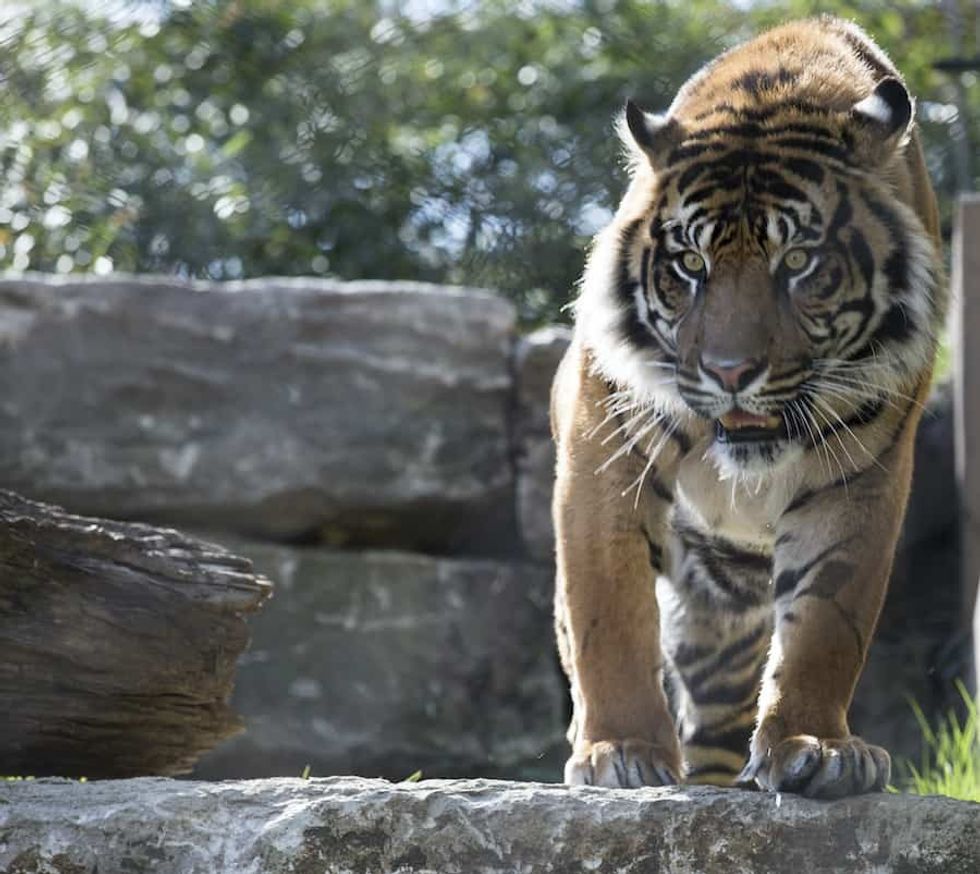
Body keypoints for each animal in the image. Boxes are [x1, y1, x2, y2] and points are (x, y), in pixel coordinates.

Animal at [551, 16, 945, 799]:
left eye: (796, 263)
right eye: (690, 265)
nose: (730, 373)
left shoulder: (860, 475)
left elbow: (827, 622)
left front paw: (816, 747)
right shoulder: (604, 448)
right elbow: (606, 608)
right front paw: (619, 751)